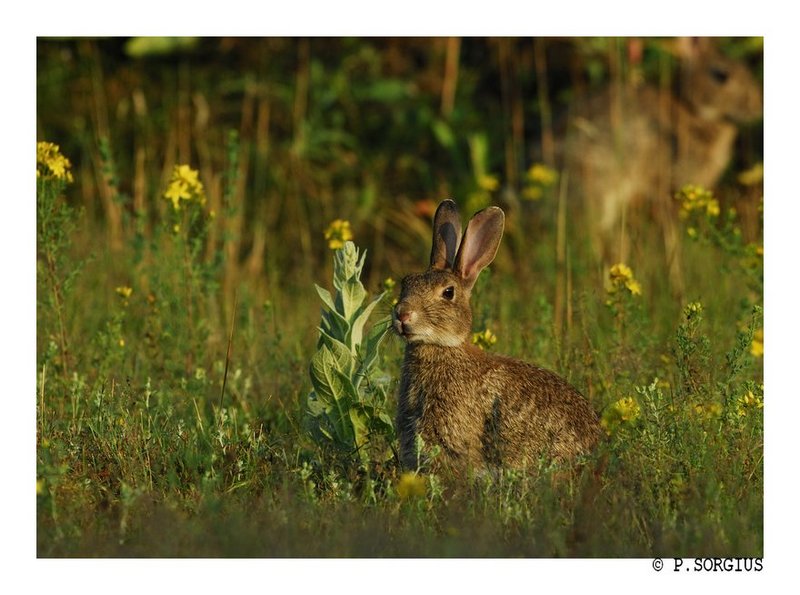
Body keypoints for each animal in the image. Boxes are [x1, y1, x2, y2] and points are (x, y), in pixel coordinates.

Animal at [561, 38, 762, 283]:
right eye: (720, 75)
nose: (758, 105)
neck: (691, 109)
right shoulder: (667, 188)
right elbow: (671, 237)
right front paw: (677, 282)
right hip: (597, 190)